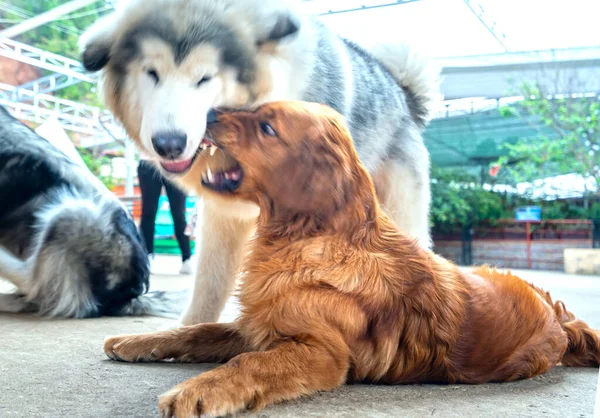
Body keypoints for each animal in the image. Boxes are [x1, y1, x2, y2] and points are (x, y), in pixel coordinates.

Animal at [81, 0, 440, 324]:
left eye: (205, 78)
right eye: (152, 73)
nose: (169, 144)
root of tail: (403, 94)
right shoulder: (223, 218)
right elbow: (209, 287)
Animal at [104, 102, 600, 418]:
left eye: (267, 127)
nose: (207, 113)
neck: (306, 237)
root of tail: (558, 315)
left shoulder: (320, 352)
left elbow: (248, 364)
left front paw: (199, 390)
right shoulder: (258, 326)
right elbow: (194, 331)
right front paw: (135, 341)